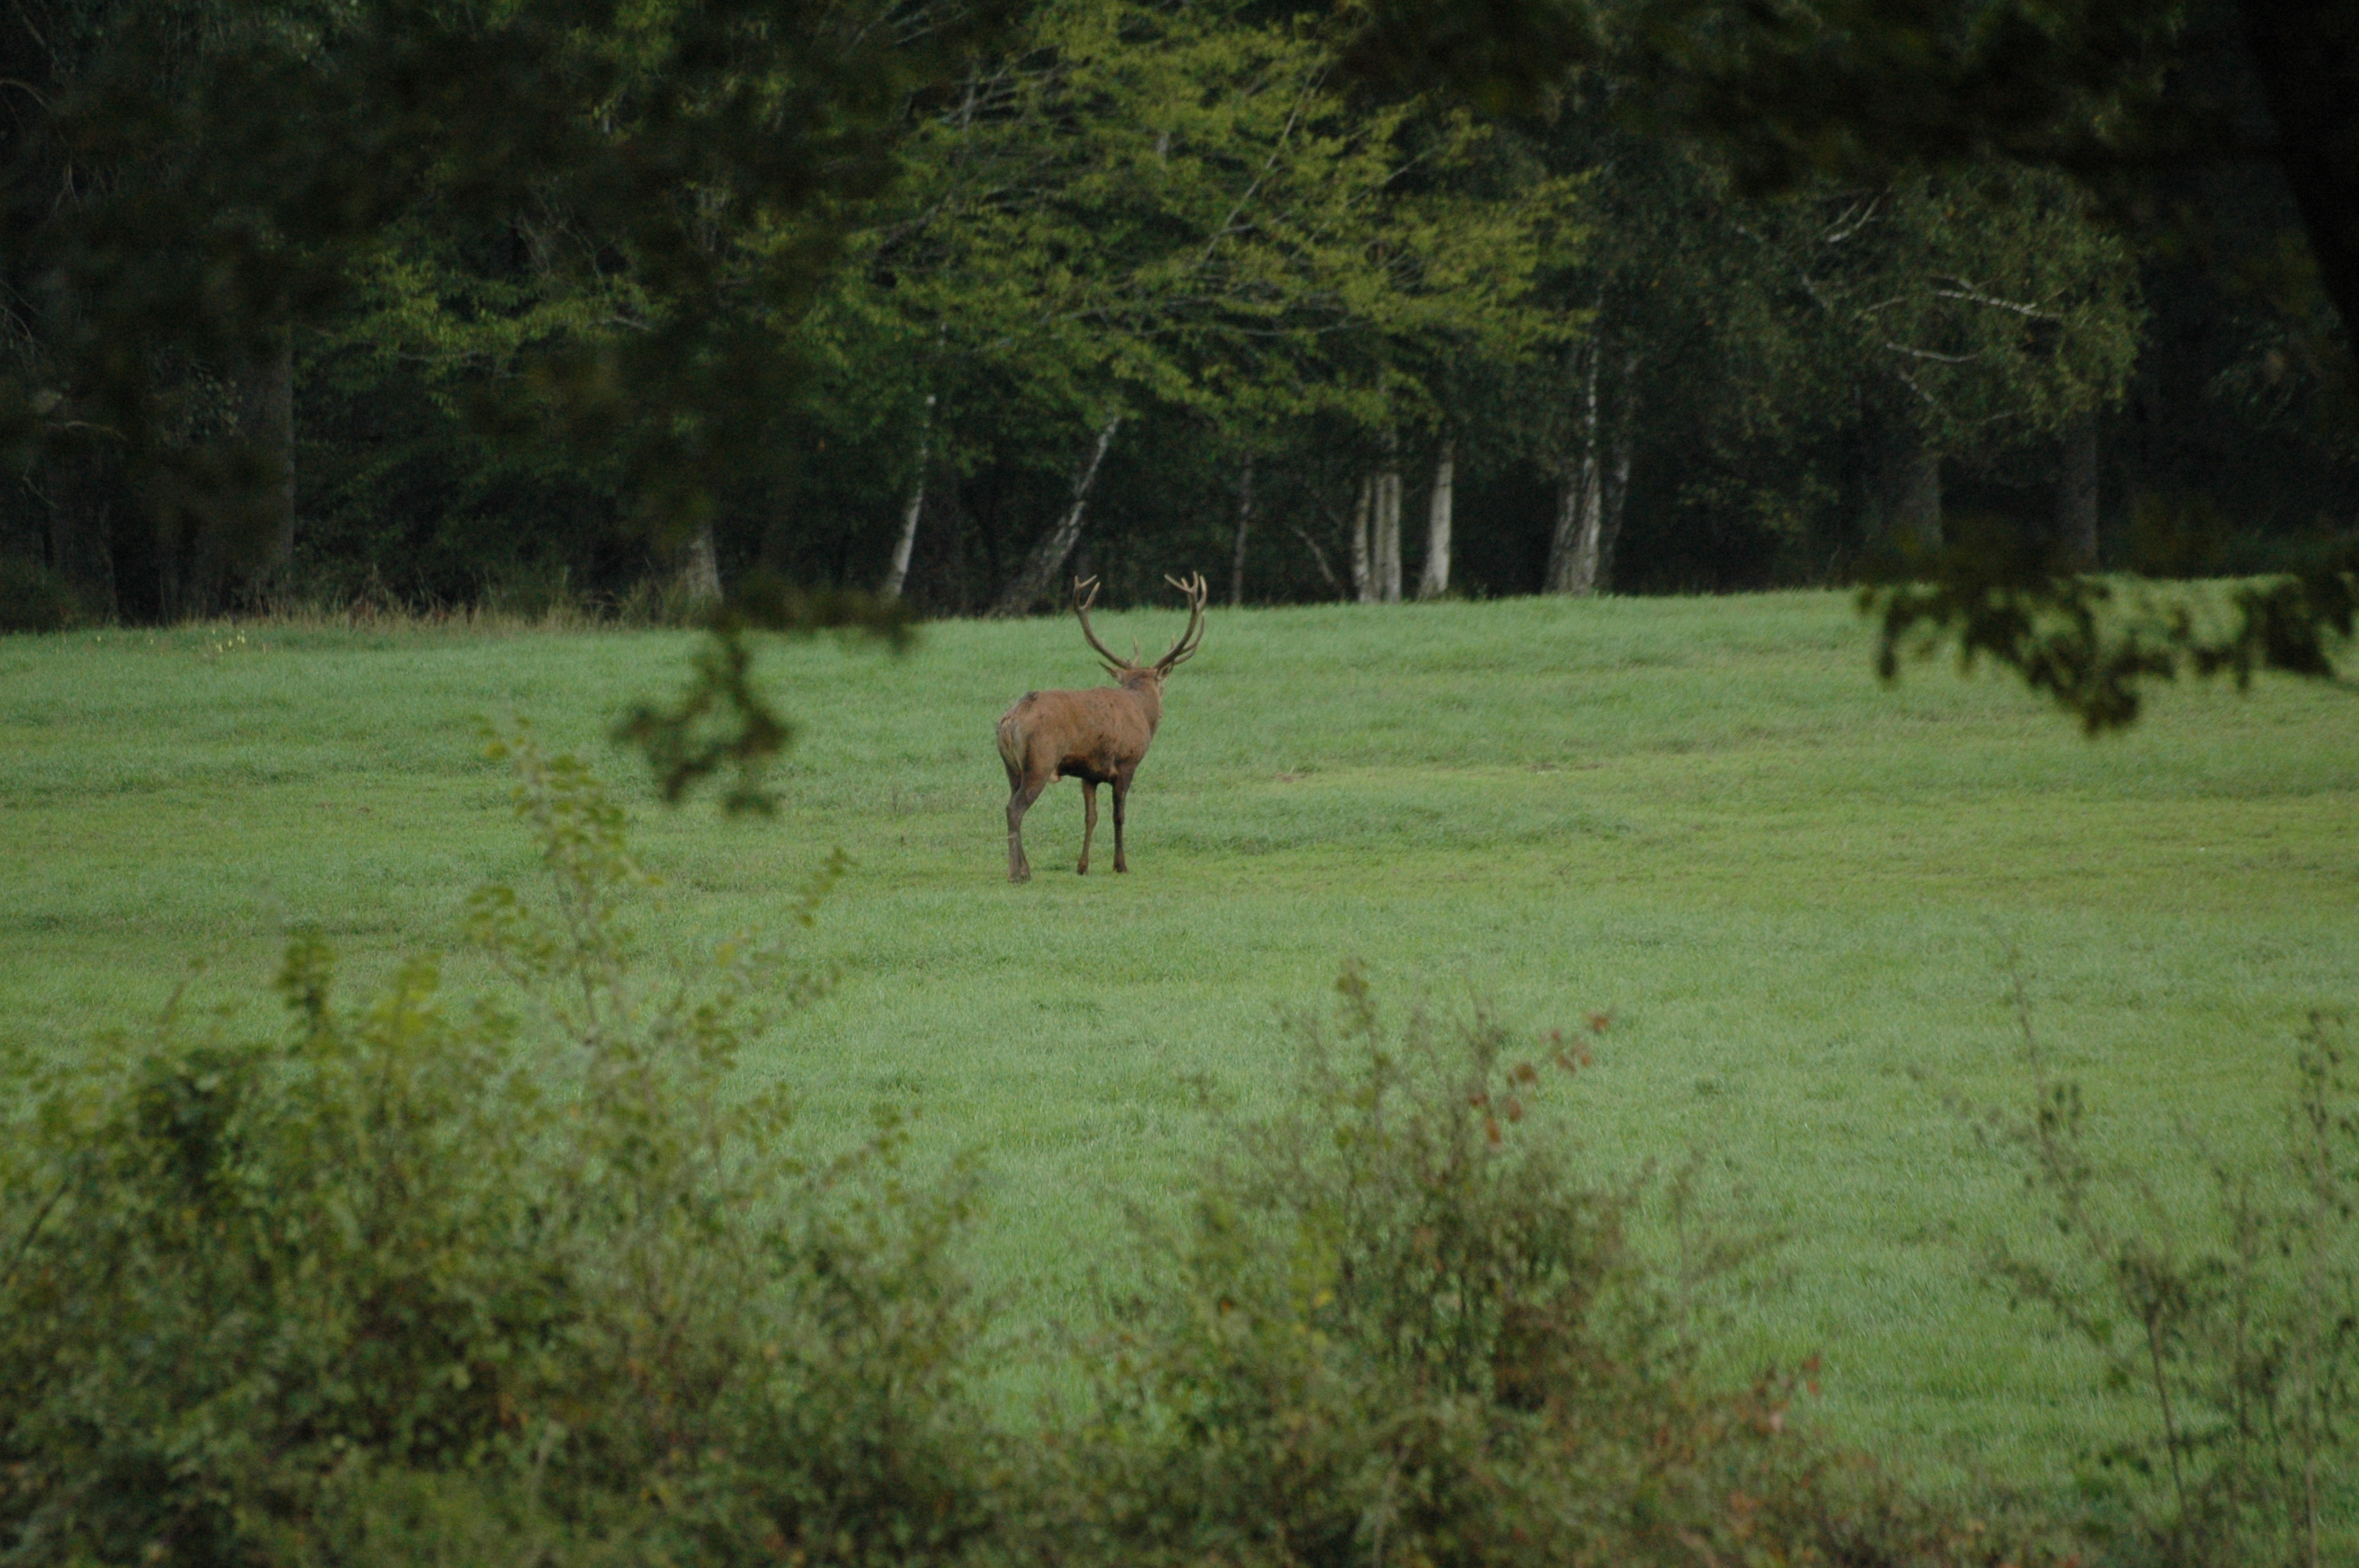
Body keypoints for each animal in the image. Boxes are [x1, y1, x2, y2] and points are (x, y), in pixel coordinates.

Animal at [997, 572, 1209, 882]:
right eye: (1163, 685)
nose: (1164, 710)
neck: (1141, 711)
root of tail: (1009, 721)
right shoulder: (1127, 763)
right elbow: (1118, 815)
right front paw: (1120, 864)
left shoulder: (1089, 774)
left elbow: (1090, 817)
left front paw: (1082, 866)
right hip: (1040, 761)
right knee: (1015, 808)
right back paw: (1017, 873)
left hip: (1011, 767)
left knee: (1009, 803)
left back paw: (1025, 868)